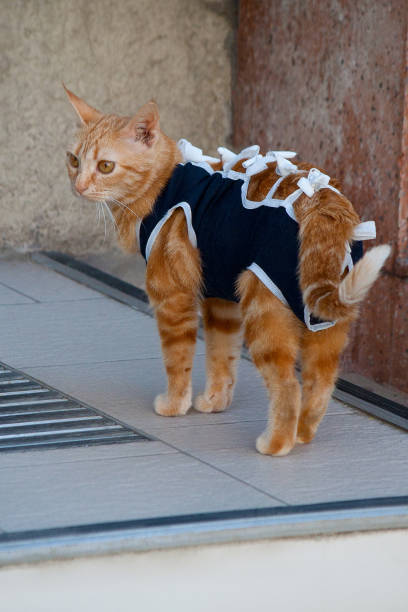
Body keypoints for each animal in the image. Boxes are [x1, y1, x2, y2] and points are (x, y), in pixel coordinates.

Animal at [63, 88, 388, 456]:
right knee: (320, 382)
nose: (79, 186)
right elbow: (221, 356)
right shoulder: (221, 302)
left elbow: (177, 359)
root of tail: (323, 201)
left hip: (264, 311)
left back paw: (277, 443)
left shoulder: (173, 299)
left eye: (105, 166)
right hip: (325, 323)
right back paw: (302, 433)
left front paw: (175, 404)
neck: (162, 185)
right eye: (74, 160)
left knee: (288, 385)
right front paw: (215, 400)